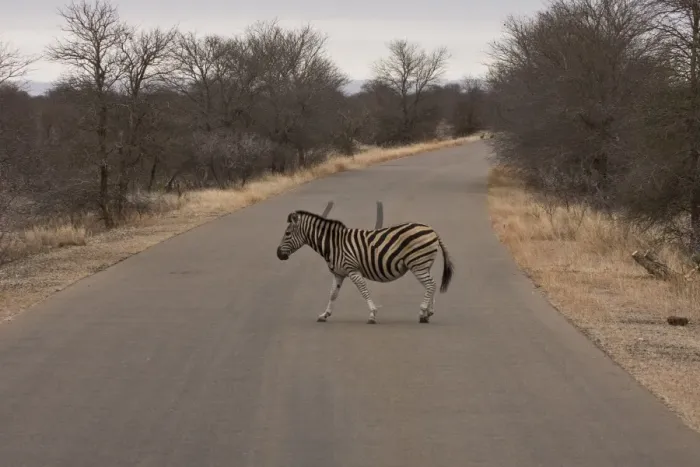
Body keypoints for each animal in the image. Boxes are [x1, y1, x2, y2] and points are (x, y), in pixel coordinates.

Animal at [276, 209, 454, 324]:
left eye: (287, 234)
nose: (278, 254)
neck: (333, 245)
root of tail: (432, 229)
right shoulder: (338, 273)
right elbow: (333, 294)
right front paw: (325, 315)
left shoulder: (352, 269)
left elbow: (363, 290)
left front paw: (372, 315)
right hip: (423, 265)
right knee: (432, 285)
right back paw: (427, 313)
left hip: (418, 264)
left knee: (430, 285)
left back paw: (423, 311)